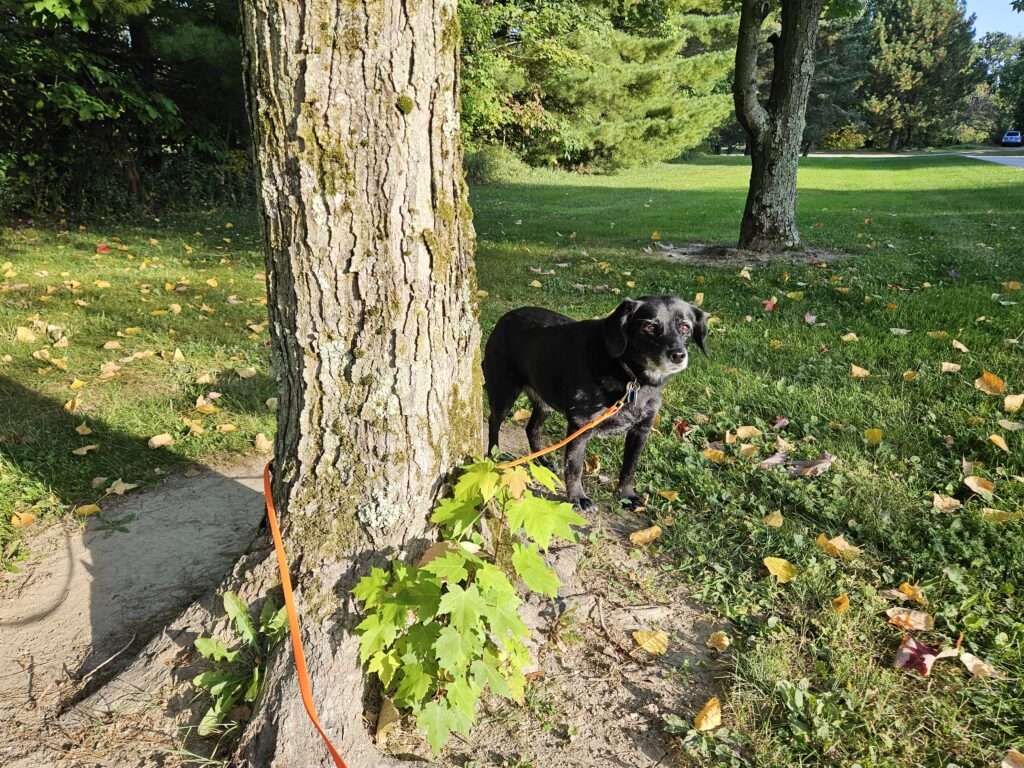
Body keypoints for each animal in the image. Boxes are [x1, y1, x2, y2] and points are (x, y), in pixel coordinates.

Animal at [483, 296, 708, 512]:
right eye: (649, 327)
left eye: (685, 327)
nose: (678, 355)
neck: (631, 378)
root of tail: (506, 317)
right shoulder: (580, 427)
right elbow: (575, 467)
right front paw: (577, 498)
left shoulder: (641, 430)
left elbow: (629, 468)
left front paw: (626, 495)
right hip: (504, 393)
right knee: (494, 421)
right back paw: (495, 456)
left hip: (545, 402)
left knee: (531, 428)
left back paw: (544, 462)